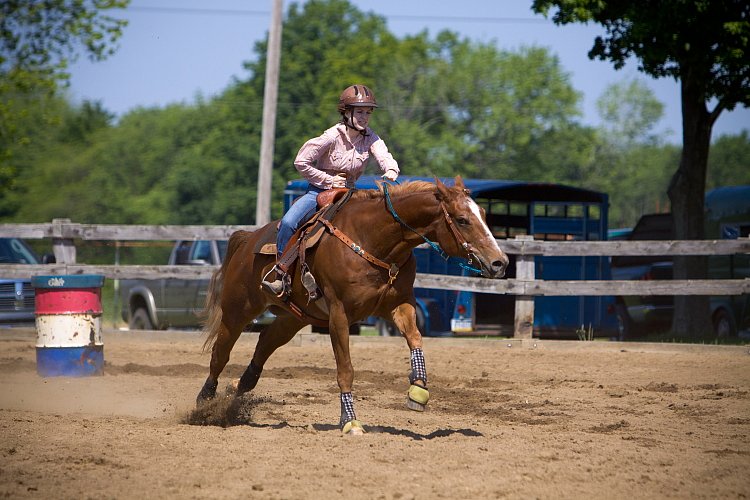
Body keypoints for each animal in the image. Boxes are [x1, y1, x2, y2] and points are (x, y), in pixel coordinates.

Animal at [197, 176, 512, 434]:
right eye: (462, 219)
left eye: (484, 215)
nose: (500, 262)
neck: (373, 239)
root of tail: (247, 239)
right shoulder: (339, 314)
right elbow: (345, 369)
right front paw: (350, 421)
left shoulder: (399, 305)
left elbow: (415, 338)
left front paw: (417, 391)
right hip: (238, 309)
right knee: (220, 353)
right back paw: (204, 401)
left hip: (294, 318)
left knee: (264, 342)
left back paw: (237, 394)